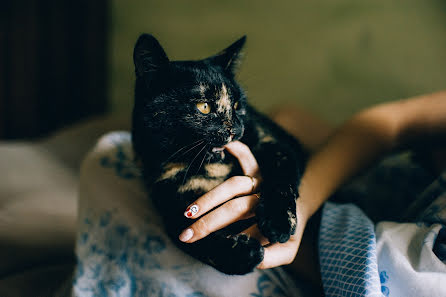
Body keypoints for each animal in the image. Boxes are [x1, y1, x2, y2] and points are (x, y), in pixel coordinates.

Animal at [132, 33, 306, 274]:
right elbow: (189, 237)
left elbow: (282, 181)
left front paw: (278, 222)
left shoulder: (276, 144)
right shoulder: (170, 200)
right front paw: (242, 254)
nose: (235, 129)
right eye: (203, 107)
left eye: (237, 105)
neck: (210, 166)